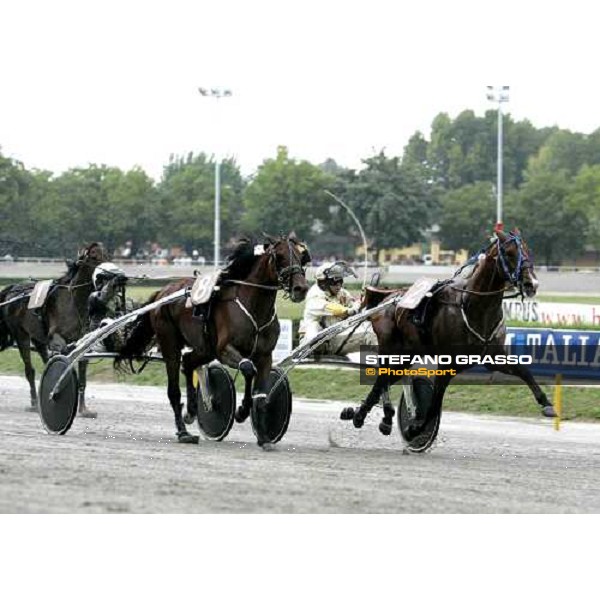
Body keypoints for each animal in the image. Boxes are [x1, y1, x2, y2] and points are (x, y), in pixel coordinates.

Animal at [0, 241, 109, 414]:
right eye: (93, 256)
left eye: (107, 255)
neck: (74, 302)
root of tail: (13, 288)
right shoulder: (56, 338)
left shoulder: (84, 341)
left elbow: (82, 375)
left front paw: (84, 409)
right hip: (21, 335)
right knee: (29, 370)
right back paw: (34, 403)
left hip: (38, 337)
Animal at [114, 232, 310, 442]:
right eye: (280, 256)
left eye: (301, 256)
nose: (301, 288)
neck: (253, 307)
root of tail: (163, 292)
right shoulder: (224, 349)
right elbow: (248, 368)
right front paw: (241, 411)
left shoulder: (265, 355)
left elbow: (261, 392)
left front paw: (263, 435)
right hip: (170, 342)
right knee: (174, 387)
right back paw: (183, 432)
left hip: (205, 348)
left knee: (188, 362)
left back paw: (192, 411)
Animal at [340, 230, 556, 450]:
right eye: (509, 252)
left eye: (528, 251)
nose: (531, 284)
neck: (473, 307)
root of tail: (388, 296)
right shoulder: (447, 363)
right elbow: (435, 402)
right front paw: (416, 428)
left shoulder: (493, 357)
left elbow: (524, 371)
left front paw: (547, 404)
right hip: (390, 346)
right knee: (382, 378)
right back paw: (367, 415)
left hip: (408, 353)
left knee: (386, 378)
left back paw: (367, 415)